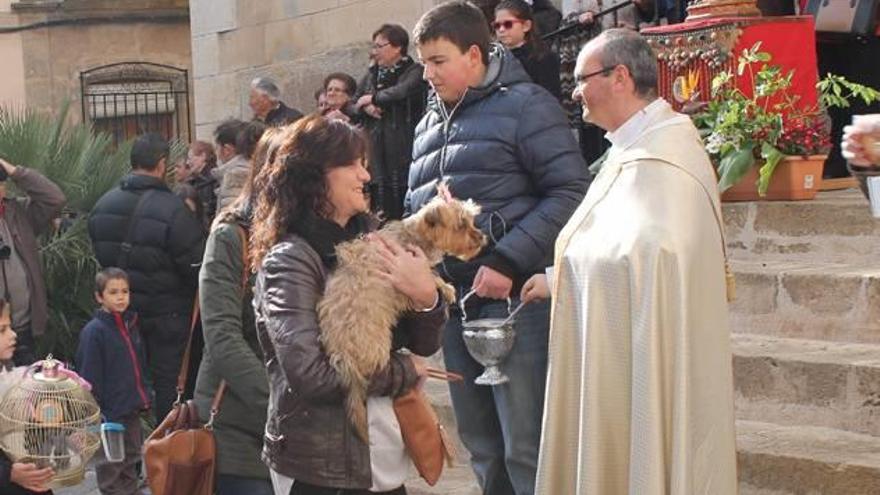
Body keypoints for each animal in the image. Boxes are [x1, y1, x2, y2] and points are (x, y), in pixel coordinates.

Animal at [316, 188, 484, 444]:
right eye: (461, 225)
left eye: (471, 221)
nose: (482, 237)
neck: (413, 235)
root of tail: (344, 360)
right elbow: (430, 275)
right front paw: (445, 287)